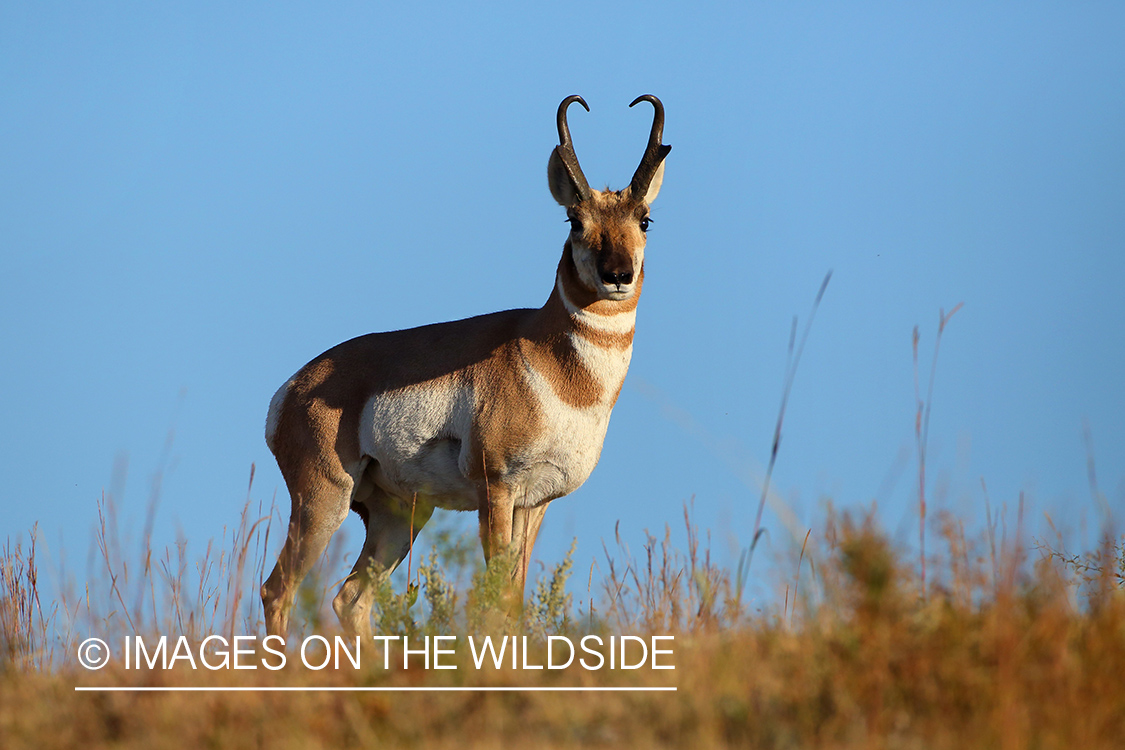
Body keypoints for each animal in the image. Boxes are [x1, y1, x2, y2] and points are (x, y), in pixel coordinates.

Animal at [263, 95, 666, 638]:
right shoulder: (497, 491)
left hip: (399, 516)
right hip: (323, 500)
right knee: (278, 590)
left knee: (350, 599)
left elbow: (514, 598)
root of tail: (294, 388)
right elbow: (496, 600)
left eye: (644, 219)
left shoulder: (535, 503)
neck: (554, 368)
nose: (617, 275)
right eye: (574, 221)